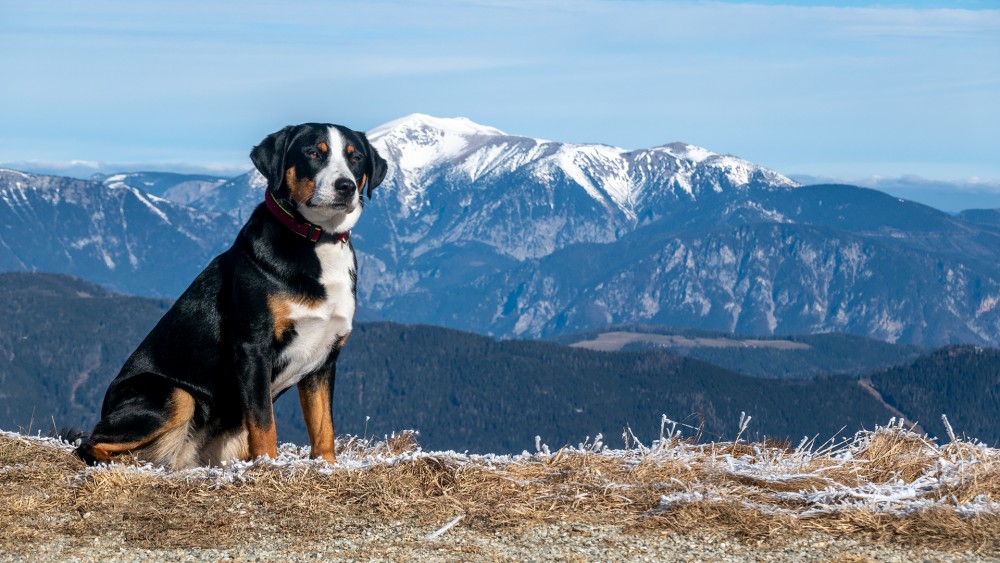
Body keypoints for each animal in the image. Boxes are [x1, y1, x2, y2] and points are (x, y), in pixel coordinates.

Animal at [73, 123, 386, 472]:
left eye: (355, 157)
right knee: (91, 443)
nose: (345, 186)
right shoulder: (253, 347)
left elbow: (323, 426)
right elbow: (264, 422)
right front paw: (268, 465)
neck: (318, 241)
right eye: (313, 153)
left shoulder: (324, 357)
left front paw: (327, 466)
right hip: (175, 394)